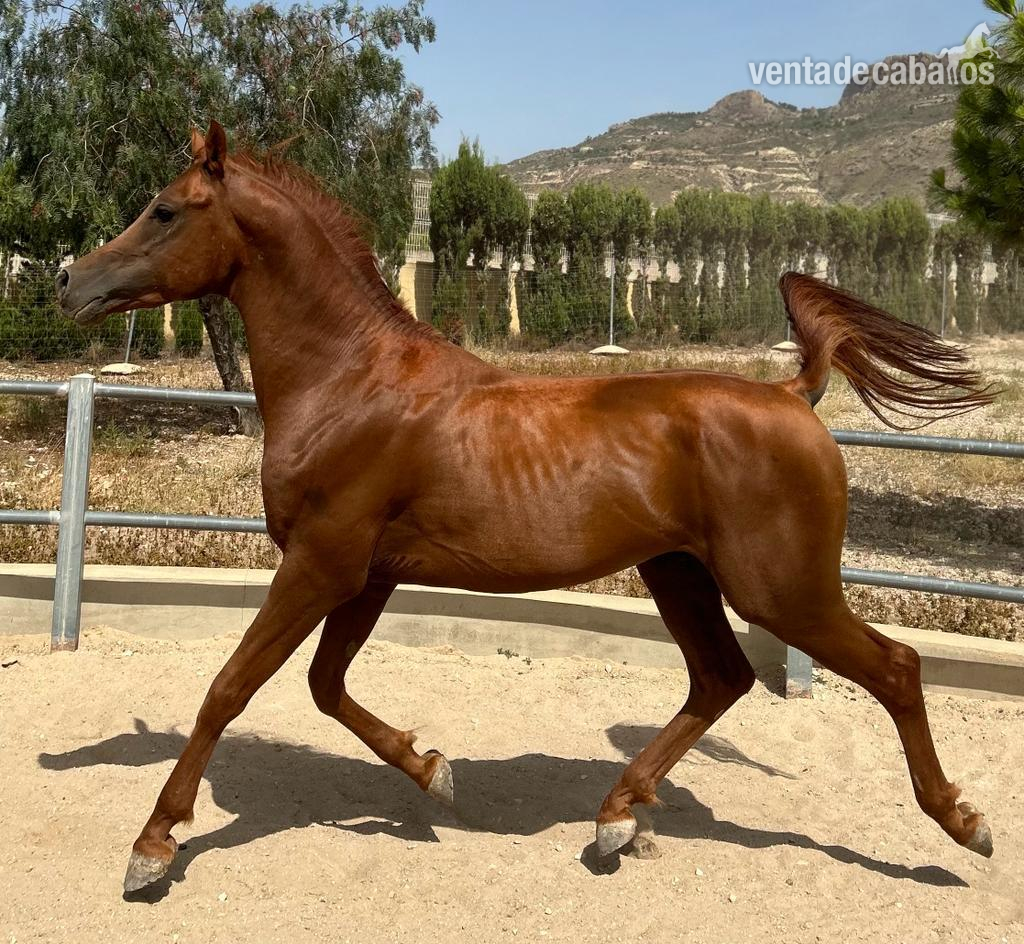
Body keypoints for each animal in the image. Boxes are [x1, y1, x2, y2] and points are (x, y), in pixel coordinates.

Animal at [56, 122, 997, 894]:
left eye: (165, 210)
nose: (71, 279)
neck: (350, 385)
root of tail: (794, 394)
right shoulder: (366, 576)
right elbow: (326, 687)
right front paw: (433, 770)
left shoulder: (322, 564)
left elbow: (230, 687)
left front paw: (153, 845)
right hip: (679, 574)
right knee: (720, 678)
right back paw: (615, 818)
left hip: (782, 589)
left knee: (893, 668)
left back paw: (964, 824)